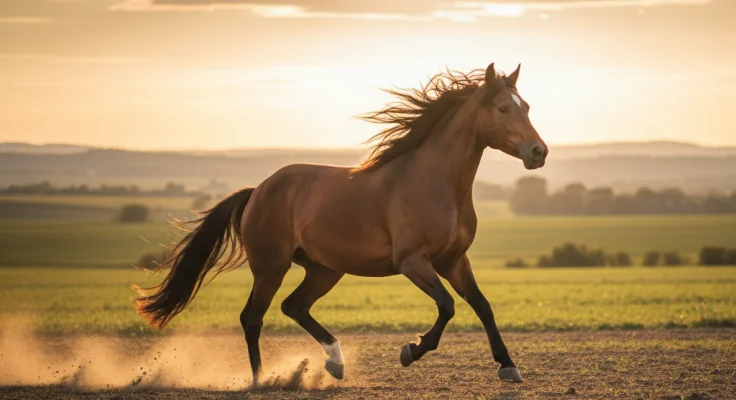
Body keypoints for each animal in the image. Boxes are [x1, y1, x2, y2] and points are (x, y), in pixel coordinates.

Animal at [134, 62, 548, 385]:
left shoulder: (454, 260)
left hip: (324, 269)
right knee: (253, 317)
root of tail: (258, 190)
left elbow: (482, 305)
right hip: (270, 267)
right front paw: (410, 351)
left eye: (526, 106)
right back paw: (262, 379)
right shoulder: (412, 261)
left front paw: (509, 367)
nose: (539, 152)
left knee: (294, 306)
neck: (436, 183)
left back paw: (335, 362)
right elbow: (447, 306)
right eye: (502, 108)